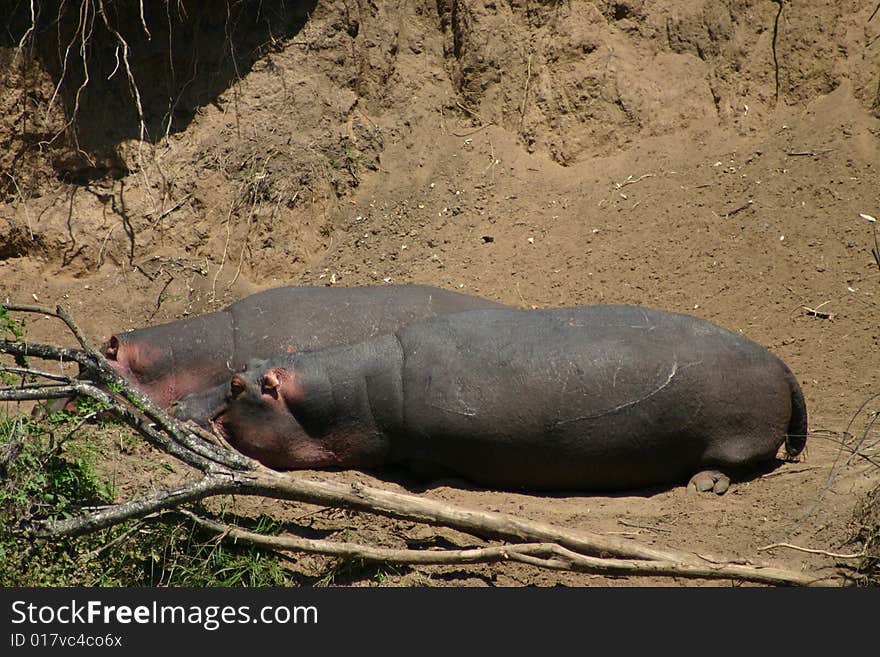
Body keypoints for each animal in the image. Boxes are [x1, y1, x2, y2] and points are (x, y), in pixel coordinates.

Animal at [211, 304, 804, 494]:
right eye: (242, 369)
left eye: (237, 387)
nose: (209, 416)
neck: (347, 392)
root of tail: (781, 362)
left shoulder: (430, 443)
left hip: (735, 436)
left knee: (739, 463)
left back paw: (705, 485)